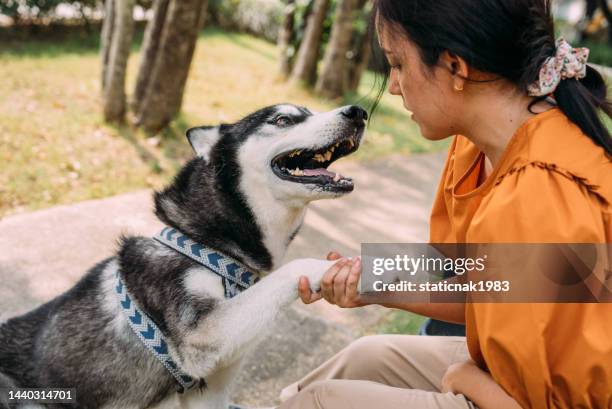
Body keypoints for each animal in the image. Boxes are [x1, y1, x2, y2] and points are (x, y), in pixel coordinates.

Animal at [0, 103, 364, 406]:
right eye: (284, 120)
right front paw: (337, 270)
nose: (358, 112)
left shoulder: (213, 387)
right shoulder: (203, 335)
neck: (209, 246)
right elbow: (290, 271)